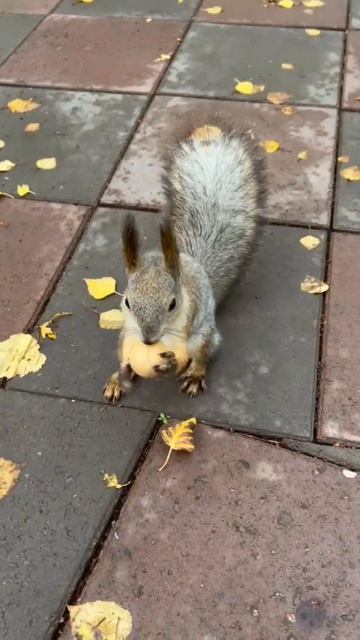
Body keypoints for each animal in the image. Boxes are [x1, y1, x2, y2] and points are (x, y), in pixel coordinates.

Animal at [102, 119, 266, 400]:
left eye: (173, 304)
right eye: (127, 302)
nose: (148, 340)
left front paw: (172, 364)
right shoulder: (128, 331)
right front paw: (120, 375)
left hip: (202, 334)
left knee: (207, 349)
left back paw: (195, 373)